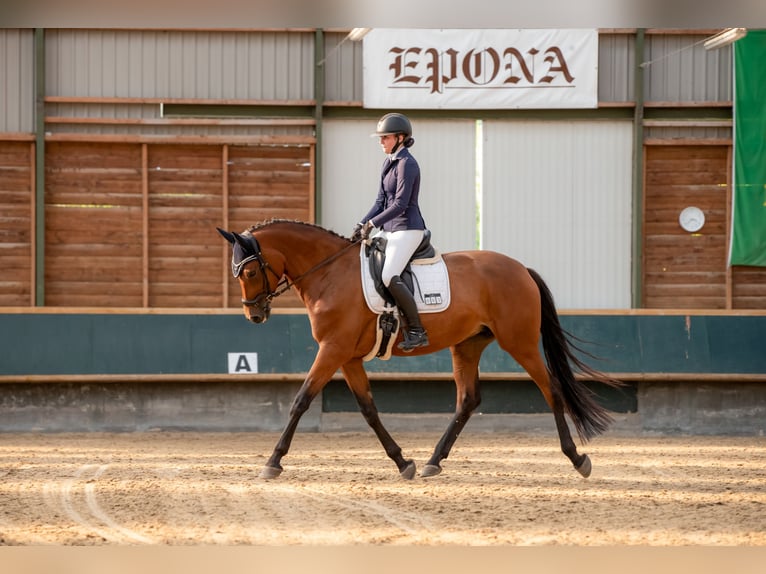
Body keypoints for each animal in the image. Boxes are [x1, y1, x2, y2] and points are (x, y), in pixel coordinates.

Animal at [217, 220, 620, 480]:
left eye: (248, 272)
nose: (254, 314)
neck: (328, 274)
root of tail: (521, 268)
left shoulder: (332, 350)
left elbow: (301, 400)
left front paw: (273, 462)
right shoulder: (347, 356)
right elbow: (368, 410)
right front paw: (402, 462)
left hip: (519, 342)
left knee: (551, 389)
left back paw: (577, 458)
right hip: (467, 345)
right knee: (467, 400)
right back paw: (432, 462)